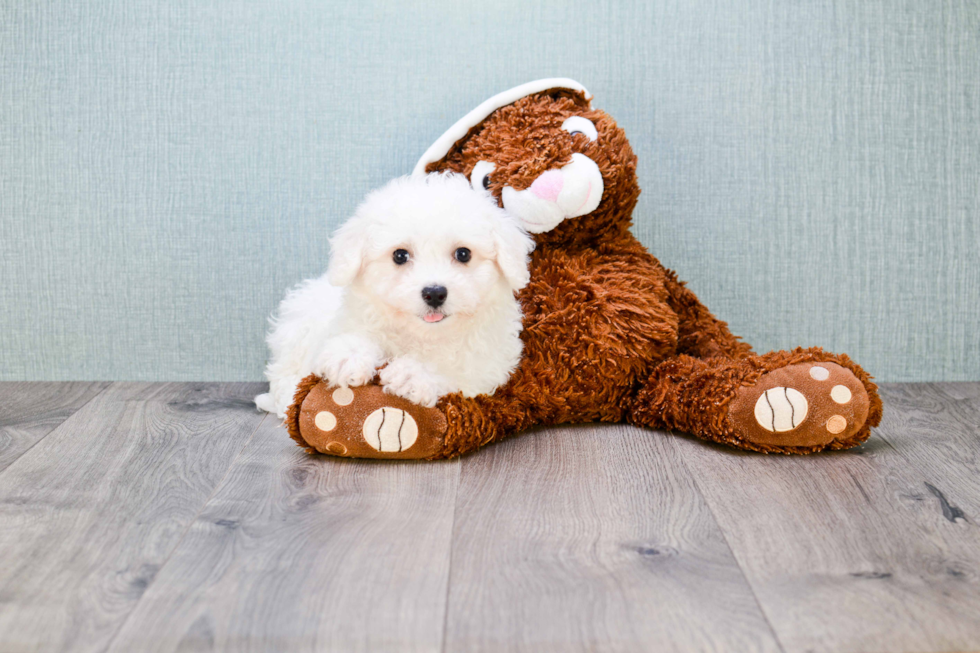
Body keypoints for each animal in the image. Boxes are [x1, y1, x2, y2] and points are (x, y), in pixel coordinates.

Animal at [251, 173, 528, 418]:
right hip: (296, 328)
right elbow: (352, 336)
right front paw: (348, 356)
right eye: (400, 255)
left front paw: (414, 373)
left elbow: (458, 368)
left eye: (463, 254)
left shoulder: (489, 363)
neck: (422, 334)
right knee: (282, 377)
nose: (434, 293)